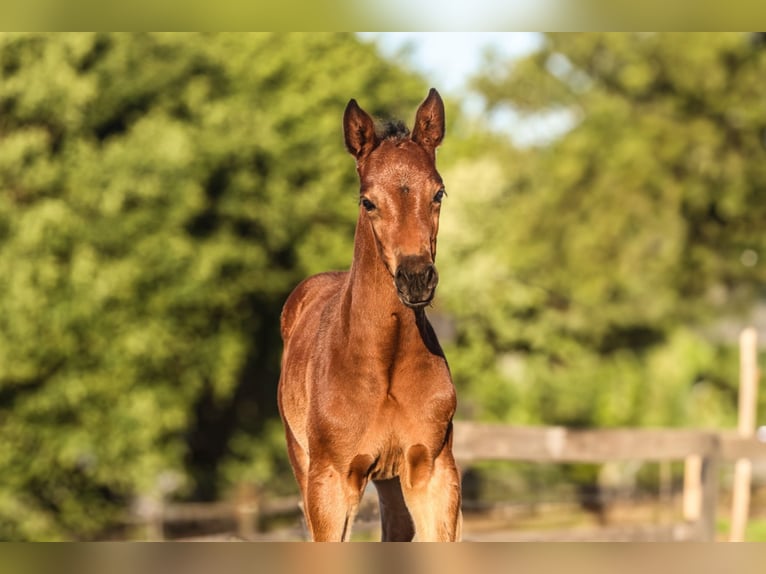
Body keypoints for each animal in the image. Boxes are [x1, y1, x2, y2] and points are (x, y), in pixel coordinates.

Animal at [277, 89, 461, 542]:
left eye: (439, 193)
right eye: (368, 201)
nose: (416, 278)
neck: (385, 359)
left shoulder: (434, 472)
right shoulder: (330, 483)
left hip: (392, 478)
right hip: (302, 462)